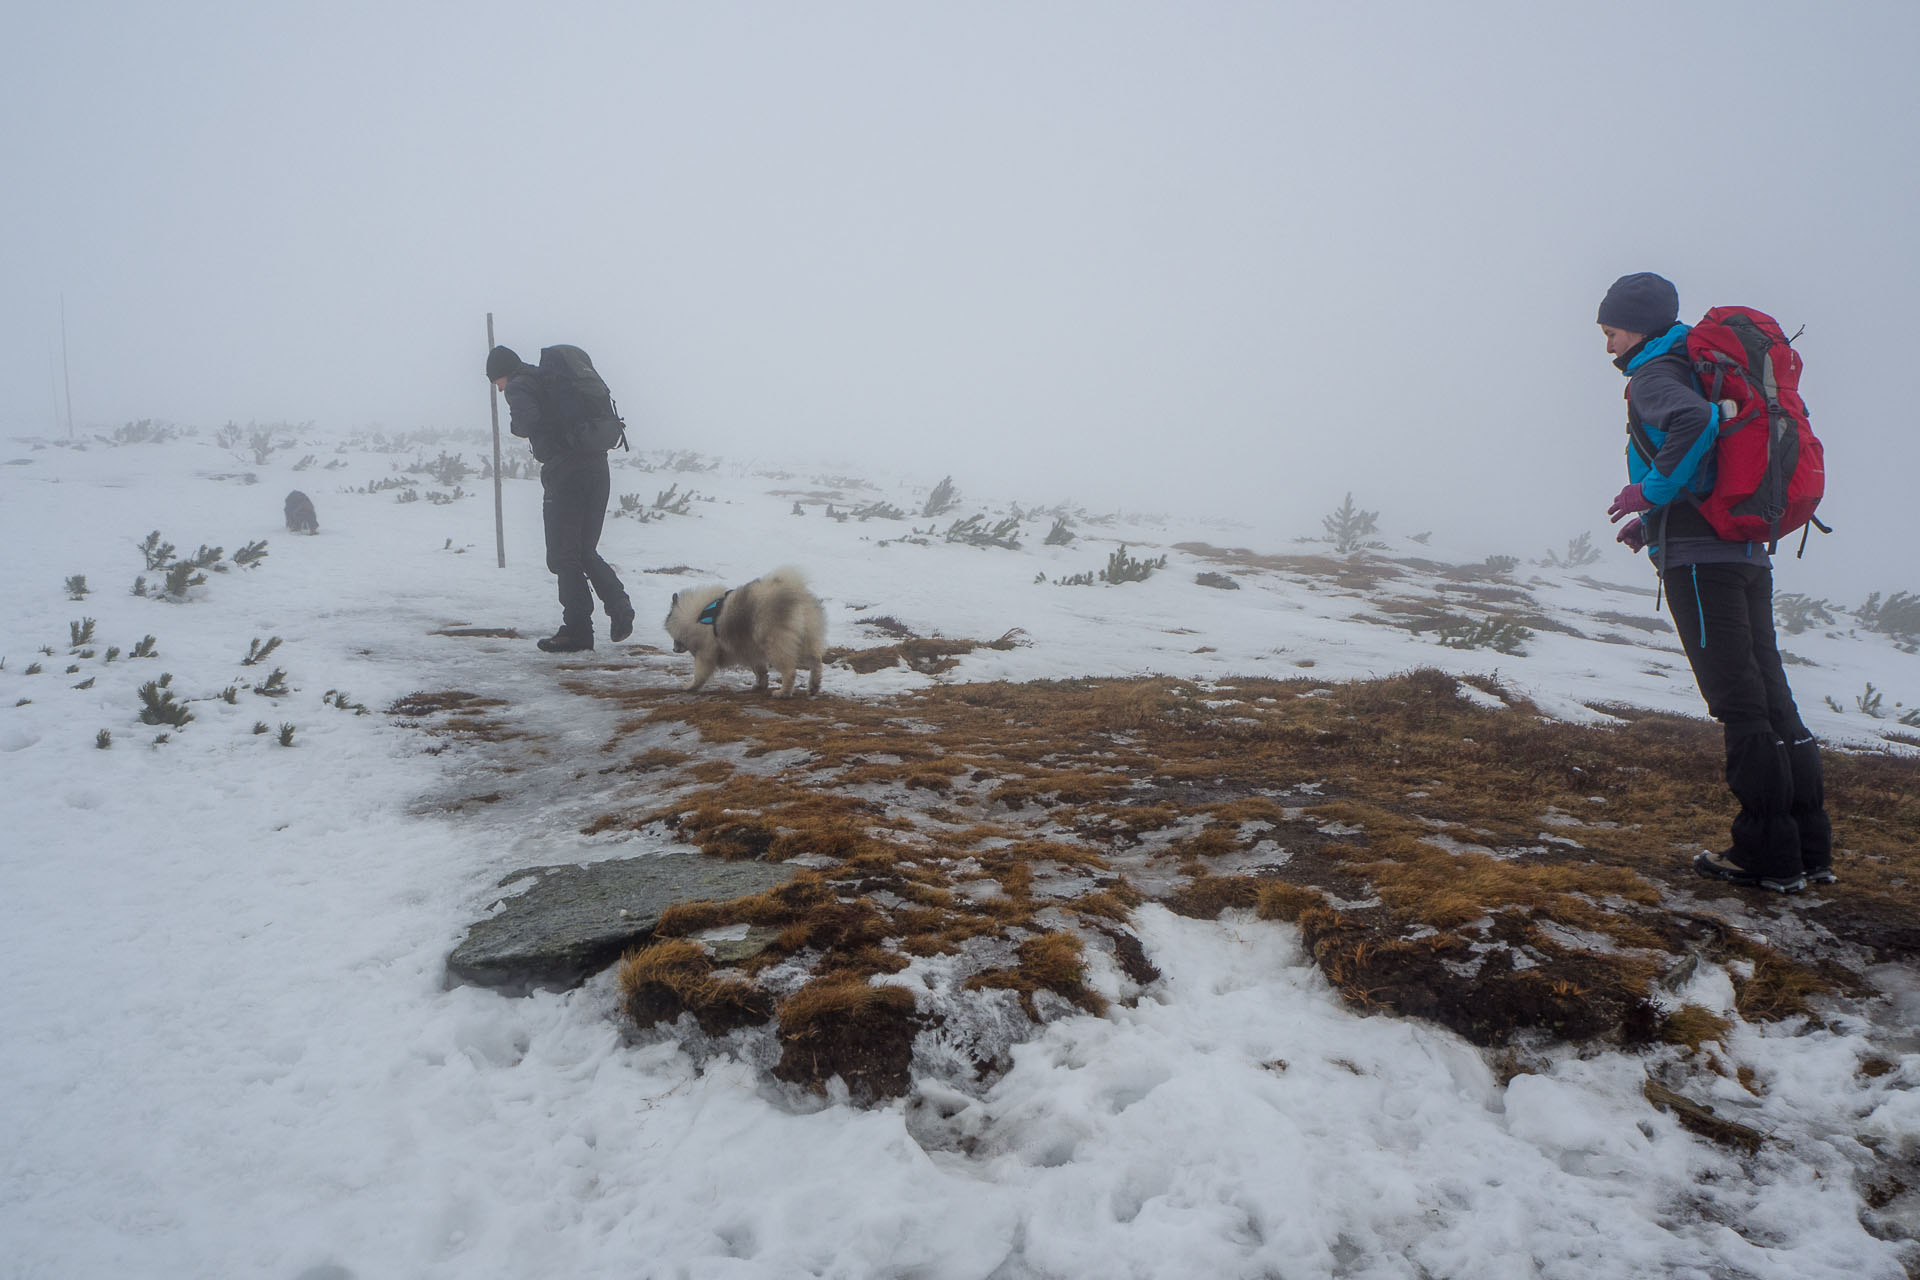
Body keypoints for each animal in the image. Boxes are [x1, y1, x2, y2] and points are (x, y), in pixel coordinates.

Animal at [668, 564, 825, 694]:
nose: (674, 649)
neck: (696, 616)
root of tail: (796, 594)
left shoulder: (705, 653)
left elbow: (699, 674)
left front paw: (690, 686)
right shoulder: (750, 651)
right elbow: (760, 671)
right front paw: (760, 685)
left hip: (775, 644)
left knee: (790, 671)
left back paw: (783, 693)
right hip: (803, 640)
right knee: (816, 661)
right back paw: (813, 686)